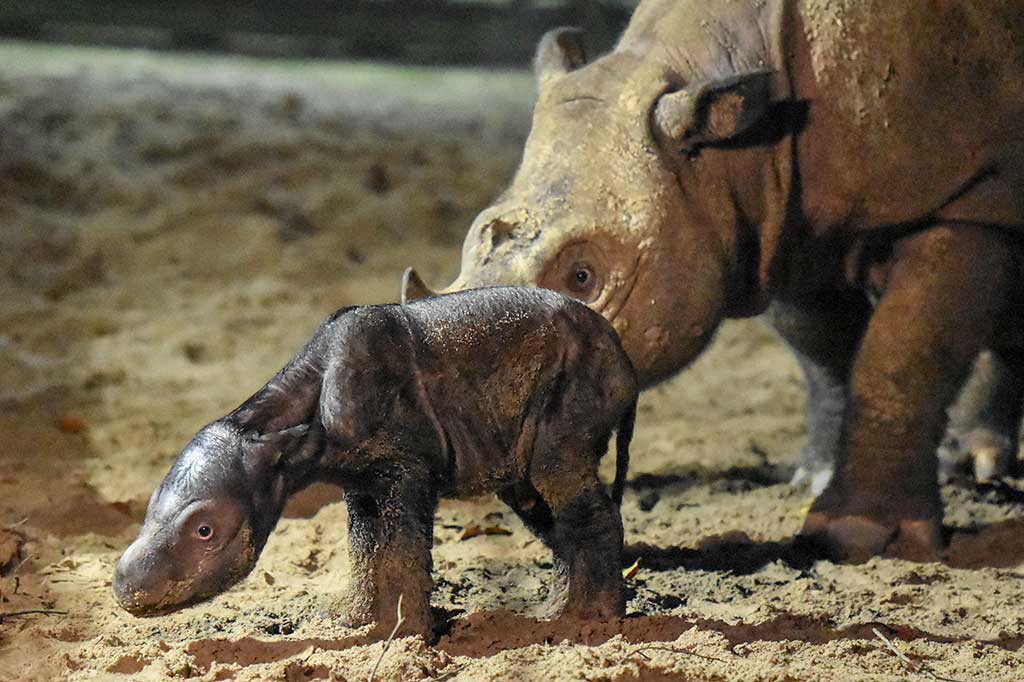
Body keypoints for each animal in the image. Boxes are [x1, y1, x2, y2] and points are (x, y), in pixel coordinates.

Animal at [404, 0, 1024, 561]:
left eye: (583, 277)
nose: (462, 442)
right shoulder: (784, 214)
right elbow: (822, 350)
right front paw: (816, 476)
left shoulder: (967, 193)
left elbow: (903, 352)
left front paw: (857, 536)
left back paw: (982, 465)